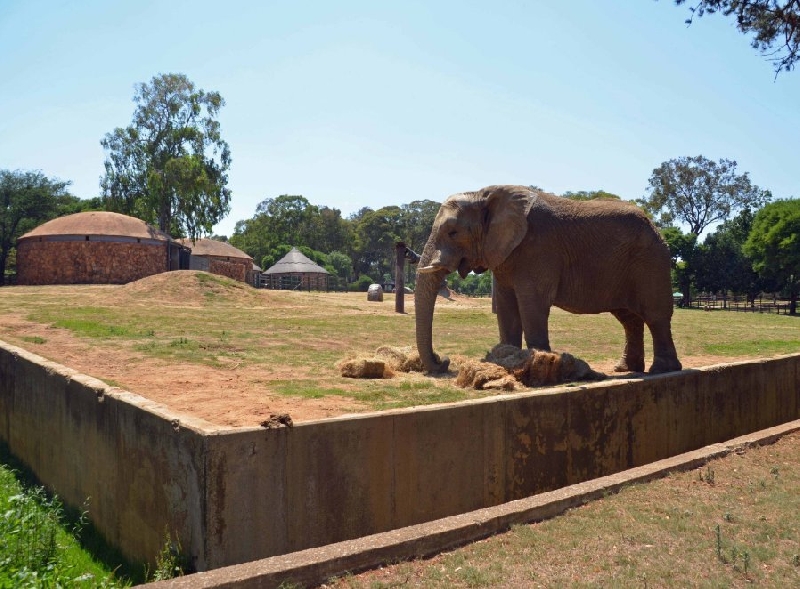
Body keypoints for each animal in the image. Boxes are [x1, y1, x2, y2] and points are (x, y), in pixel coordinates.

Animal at [416, 186, 684, 374]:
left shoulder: (538, 248)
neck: (484, 193)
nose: (443, 360)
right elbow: (506, 306)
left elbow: (532, 303)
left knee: (656, 316)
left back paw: (662, 370)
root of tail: (655, 226)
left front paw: (539, 362)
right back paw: (625, 369)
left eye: (453, 232)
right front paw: (506, 357)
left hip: (651, 261)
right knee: (629, 319)